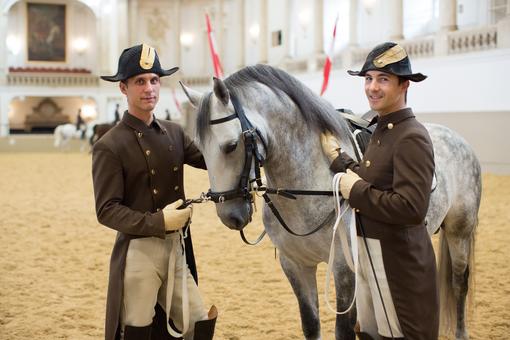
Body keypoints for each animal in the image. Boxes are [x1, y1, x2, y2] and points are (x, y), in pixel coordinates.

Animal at [185, 64, 480, 340]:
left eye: (231, 146)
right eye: (199, 149)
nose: (229, 215)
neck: (308, 188)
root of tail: (458, 139)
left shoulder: (344, 266)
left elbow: (344, 329)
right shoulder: (295, 265)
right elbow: (310, 323)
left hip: (459, 232)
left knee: (459, 284)